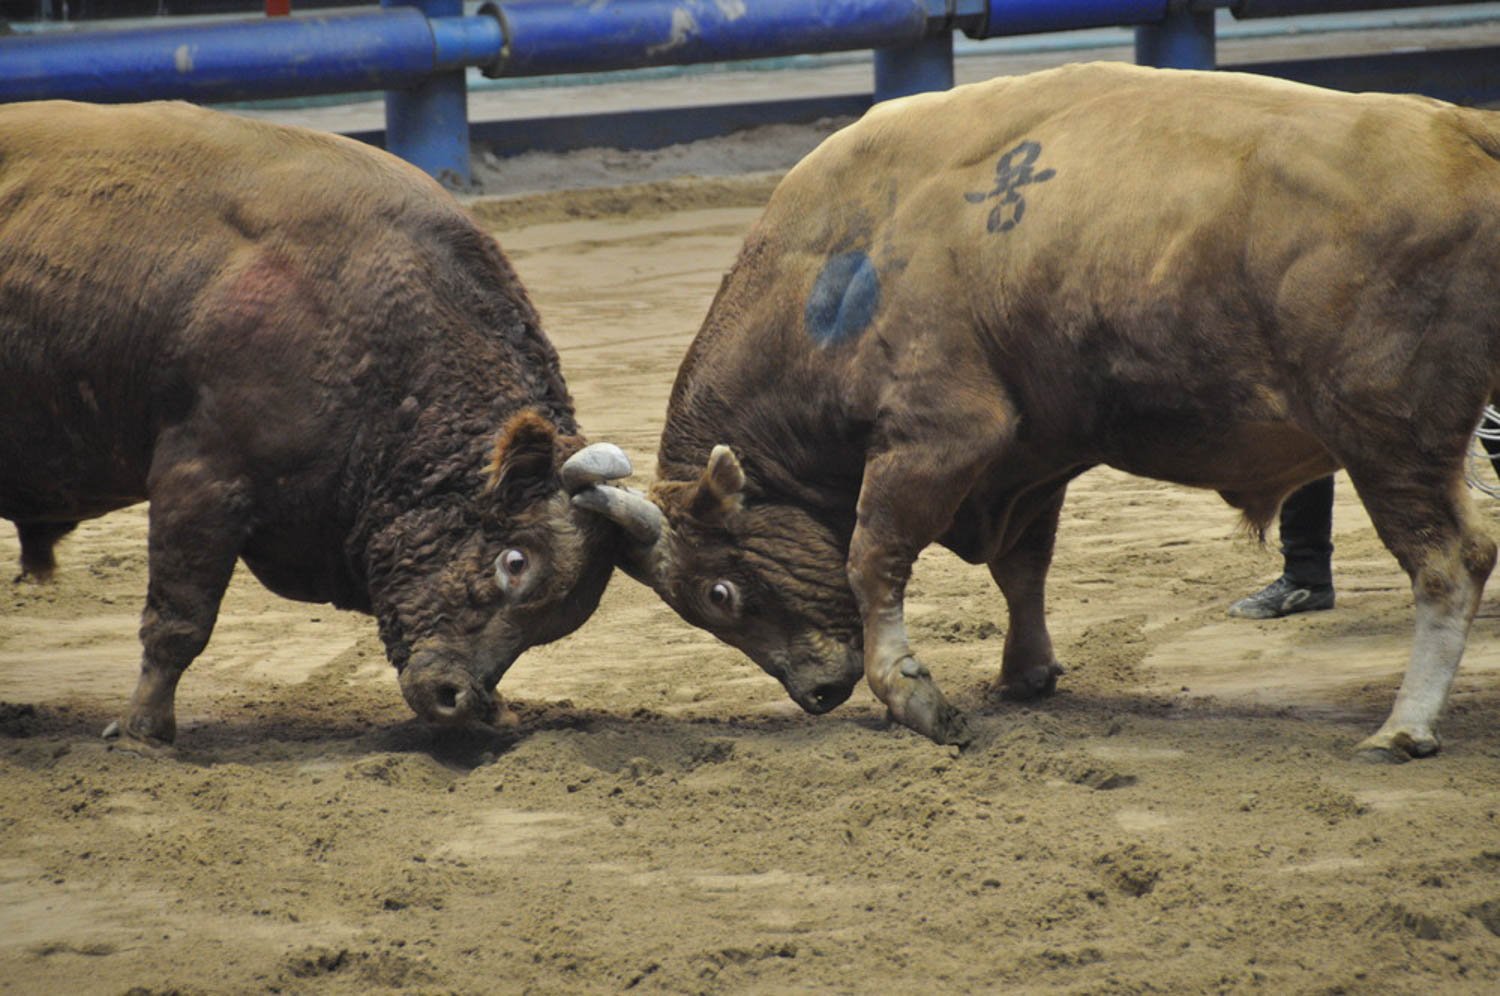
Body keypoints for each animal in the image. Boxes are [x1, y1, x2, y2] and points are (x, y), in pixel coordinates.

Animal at [579, 62, 1500, 759]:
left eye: (721, 593)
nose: (818, 692)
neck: (835, 266)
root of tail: (1462, 129)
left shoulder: (938, 436)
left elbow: (873, 558)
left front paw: (914, 697)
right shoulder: (1031, 455)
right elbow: (1022, 567)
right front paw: (1024, 672)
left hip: (1389, 439)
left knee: (1449, 561)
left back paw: (1404, 726)